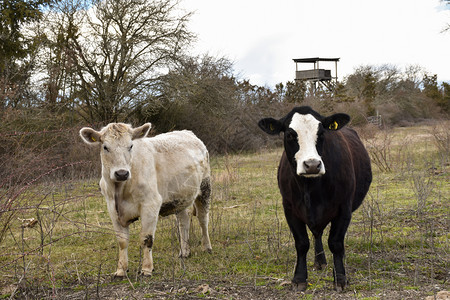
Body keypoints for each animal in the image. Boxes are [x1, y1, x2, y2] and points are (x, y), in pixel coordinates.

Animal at [80, 122, 212, 276]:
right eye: (105, 147)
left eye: (131, 146)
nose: (121, 173)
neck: (120, 189)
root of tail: (187, 132)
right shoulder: (112, 209)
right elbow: (122, 241)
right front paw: (121, 270)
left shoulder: (151, 204)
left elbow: (146, 238)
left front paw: (147, 269)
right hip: (179, 197)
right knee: (183, 222)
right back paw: (184, 252)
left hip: (205, 187)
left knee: (203, 219)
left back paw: (207, 247)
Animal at [258, 106, 370, 290]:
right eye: (290, 134)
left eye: (322, 133)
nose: (312, 165)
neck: (310, 188)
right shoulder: (289, 209)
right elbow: (302, 243)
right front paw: (299, 278)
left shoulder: (344, 208)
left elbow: (336, 243)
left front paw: (340, 278)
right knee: (317, 233)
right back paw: (319, 261)